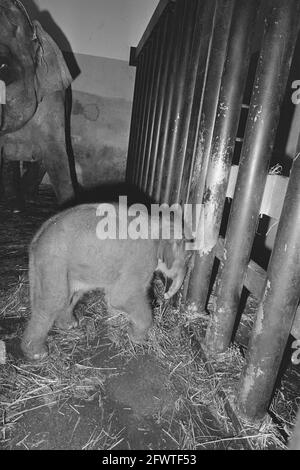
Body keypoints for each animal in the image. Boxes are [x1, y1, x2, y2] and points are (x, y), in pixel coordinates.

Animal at [21, 202, 191, 360]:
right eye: (188, 257)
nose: (166, 296)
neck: (156, 222)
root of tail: (35, 242)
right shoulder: (141, 259)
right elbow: (122, 296)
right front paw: (138, 339)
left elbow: (113, 298)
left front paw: (116, 325)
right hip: (54, 263)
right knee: (53, 301)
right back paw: (37, 353)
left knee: (73, 295)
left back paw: (70, 325)